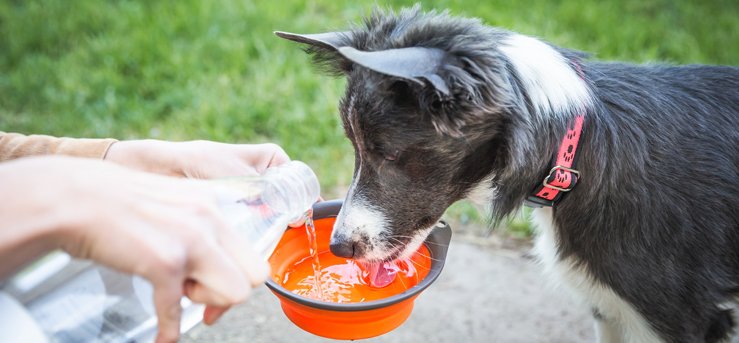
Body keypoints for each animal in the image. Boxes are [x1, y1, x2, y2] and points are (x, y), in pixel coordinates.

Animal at [278, 6, 739, 343]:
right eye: (356, 148)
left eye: (388, 154)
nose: (338, 248)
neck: (577, 153)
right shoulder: (609, 309)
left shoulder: (676, 318)